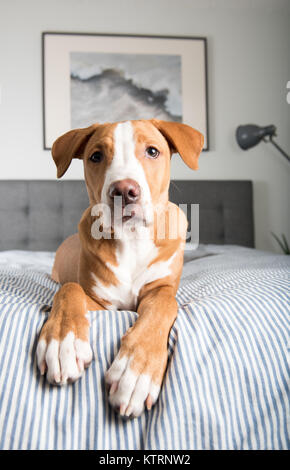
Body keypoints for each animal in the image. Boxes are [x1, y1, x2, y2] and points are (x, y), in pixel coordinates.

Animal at [36, 119, 204, 416]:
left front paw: (135, 373)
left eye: (152, 151)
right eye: (96, 156)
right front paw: (62, 343)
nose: (124, 191)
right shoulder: (101, 303)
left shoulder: (162, 289)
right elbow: (69, 290)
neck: (132, 238)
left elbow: (162, 305)